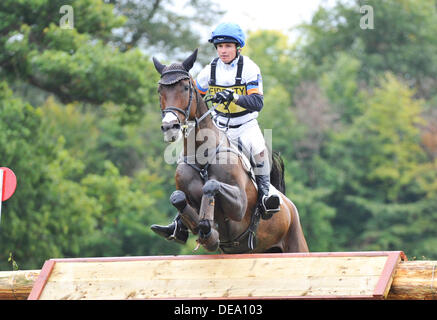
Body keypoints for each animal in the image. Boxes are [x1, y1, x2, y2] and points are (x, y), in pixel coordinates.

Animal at [152, 49, 308, 255]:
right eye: (160, 91)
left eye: (186, 88)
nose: (170, 127)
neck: (204, 158)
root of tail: (290, 206)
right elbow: (178, 198)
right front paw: (207, 234)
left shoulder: (239, 205)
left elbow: (211, 186)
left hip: (296, 244)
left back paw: (269, 201)